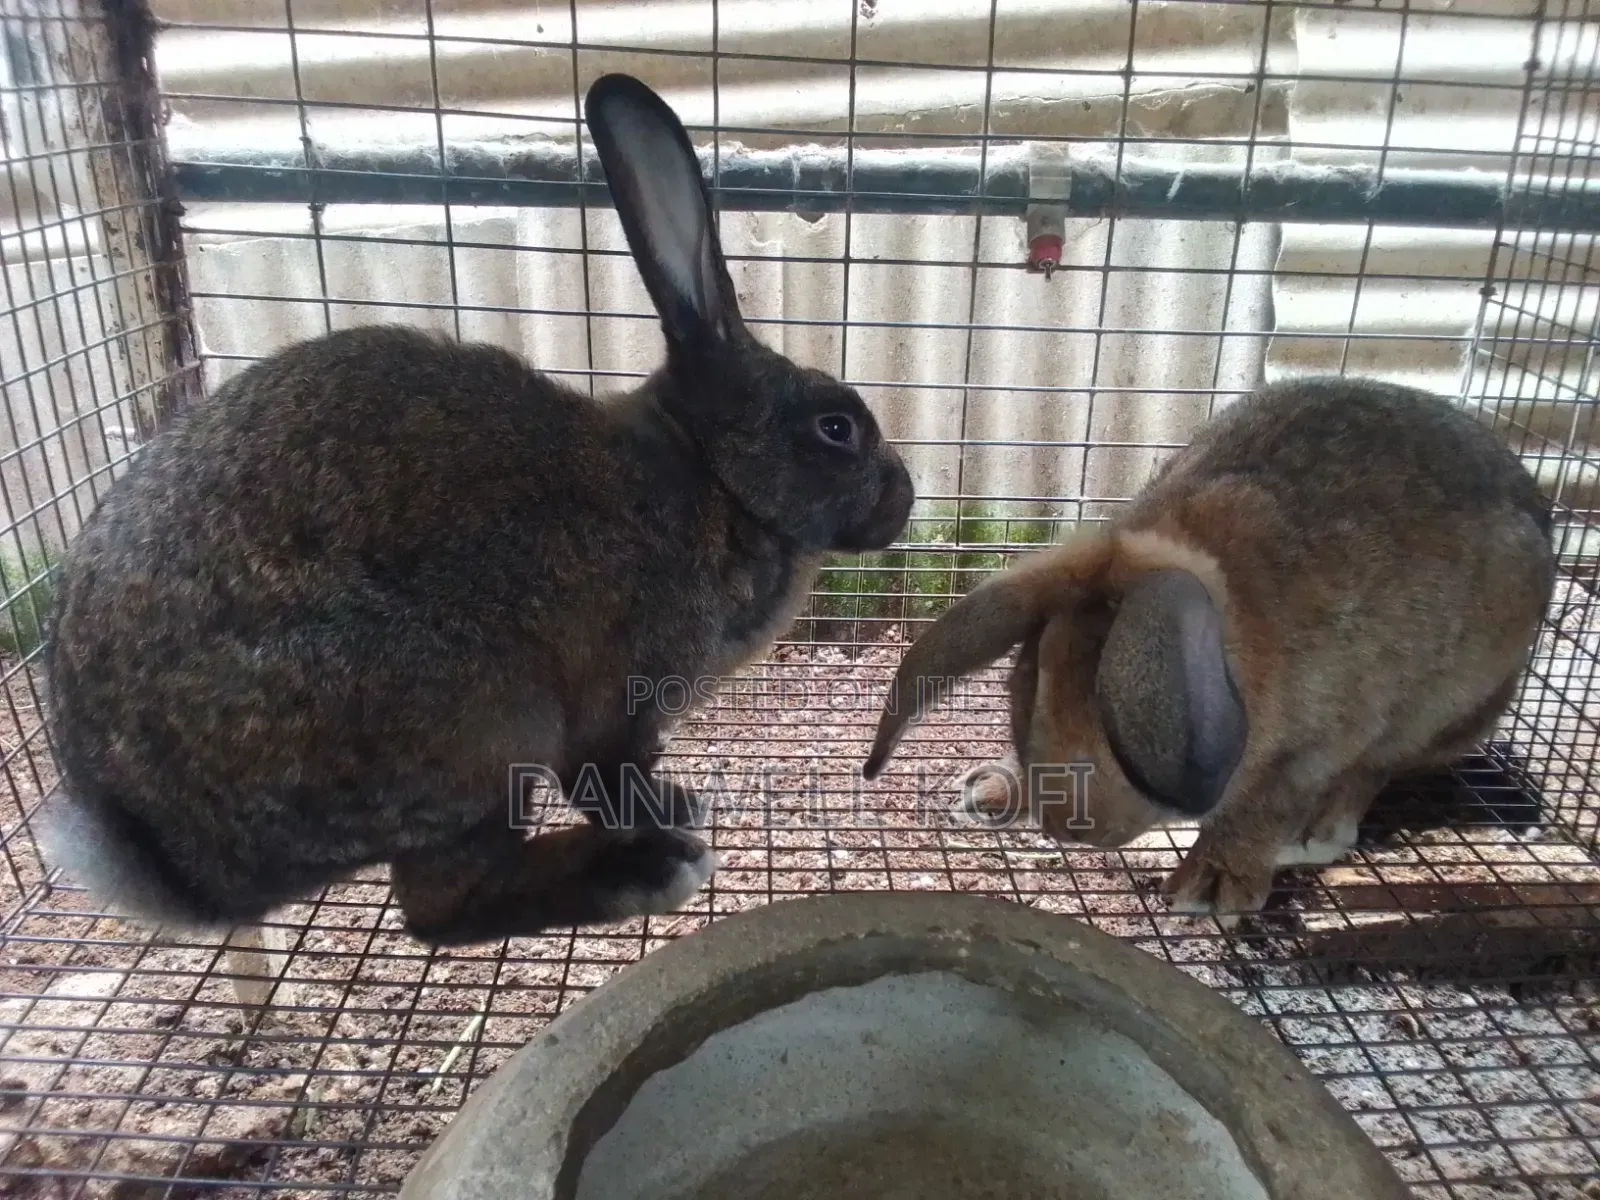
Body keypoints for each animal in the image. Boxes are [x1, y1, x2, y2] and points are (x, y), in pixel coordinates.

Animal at [37, 72, 916, 948]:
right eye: (836, 428)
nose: (903, 502)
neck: (716, 478)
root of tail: (185, 867)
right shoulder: (617, 700)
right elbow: (605, 778)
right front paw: (663, 821)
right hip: (486, 714)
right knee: (437, 907)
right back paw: (645, 873)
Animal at [861, 376, 1554, 927]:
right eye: (1026, 690)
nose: (1070, 827)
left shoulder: (1317, 741)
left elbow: (1262, 803)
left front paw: (1212, 890)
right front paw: (996, 791)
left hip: (1446, 703)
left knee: (1371, 773)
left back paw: (1312, 836)